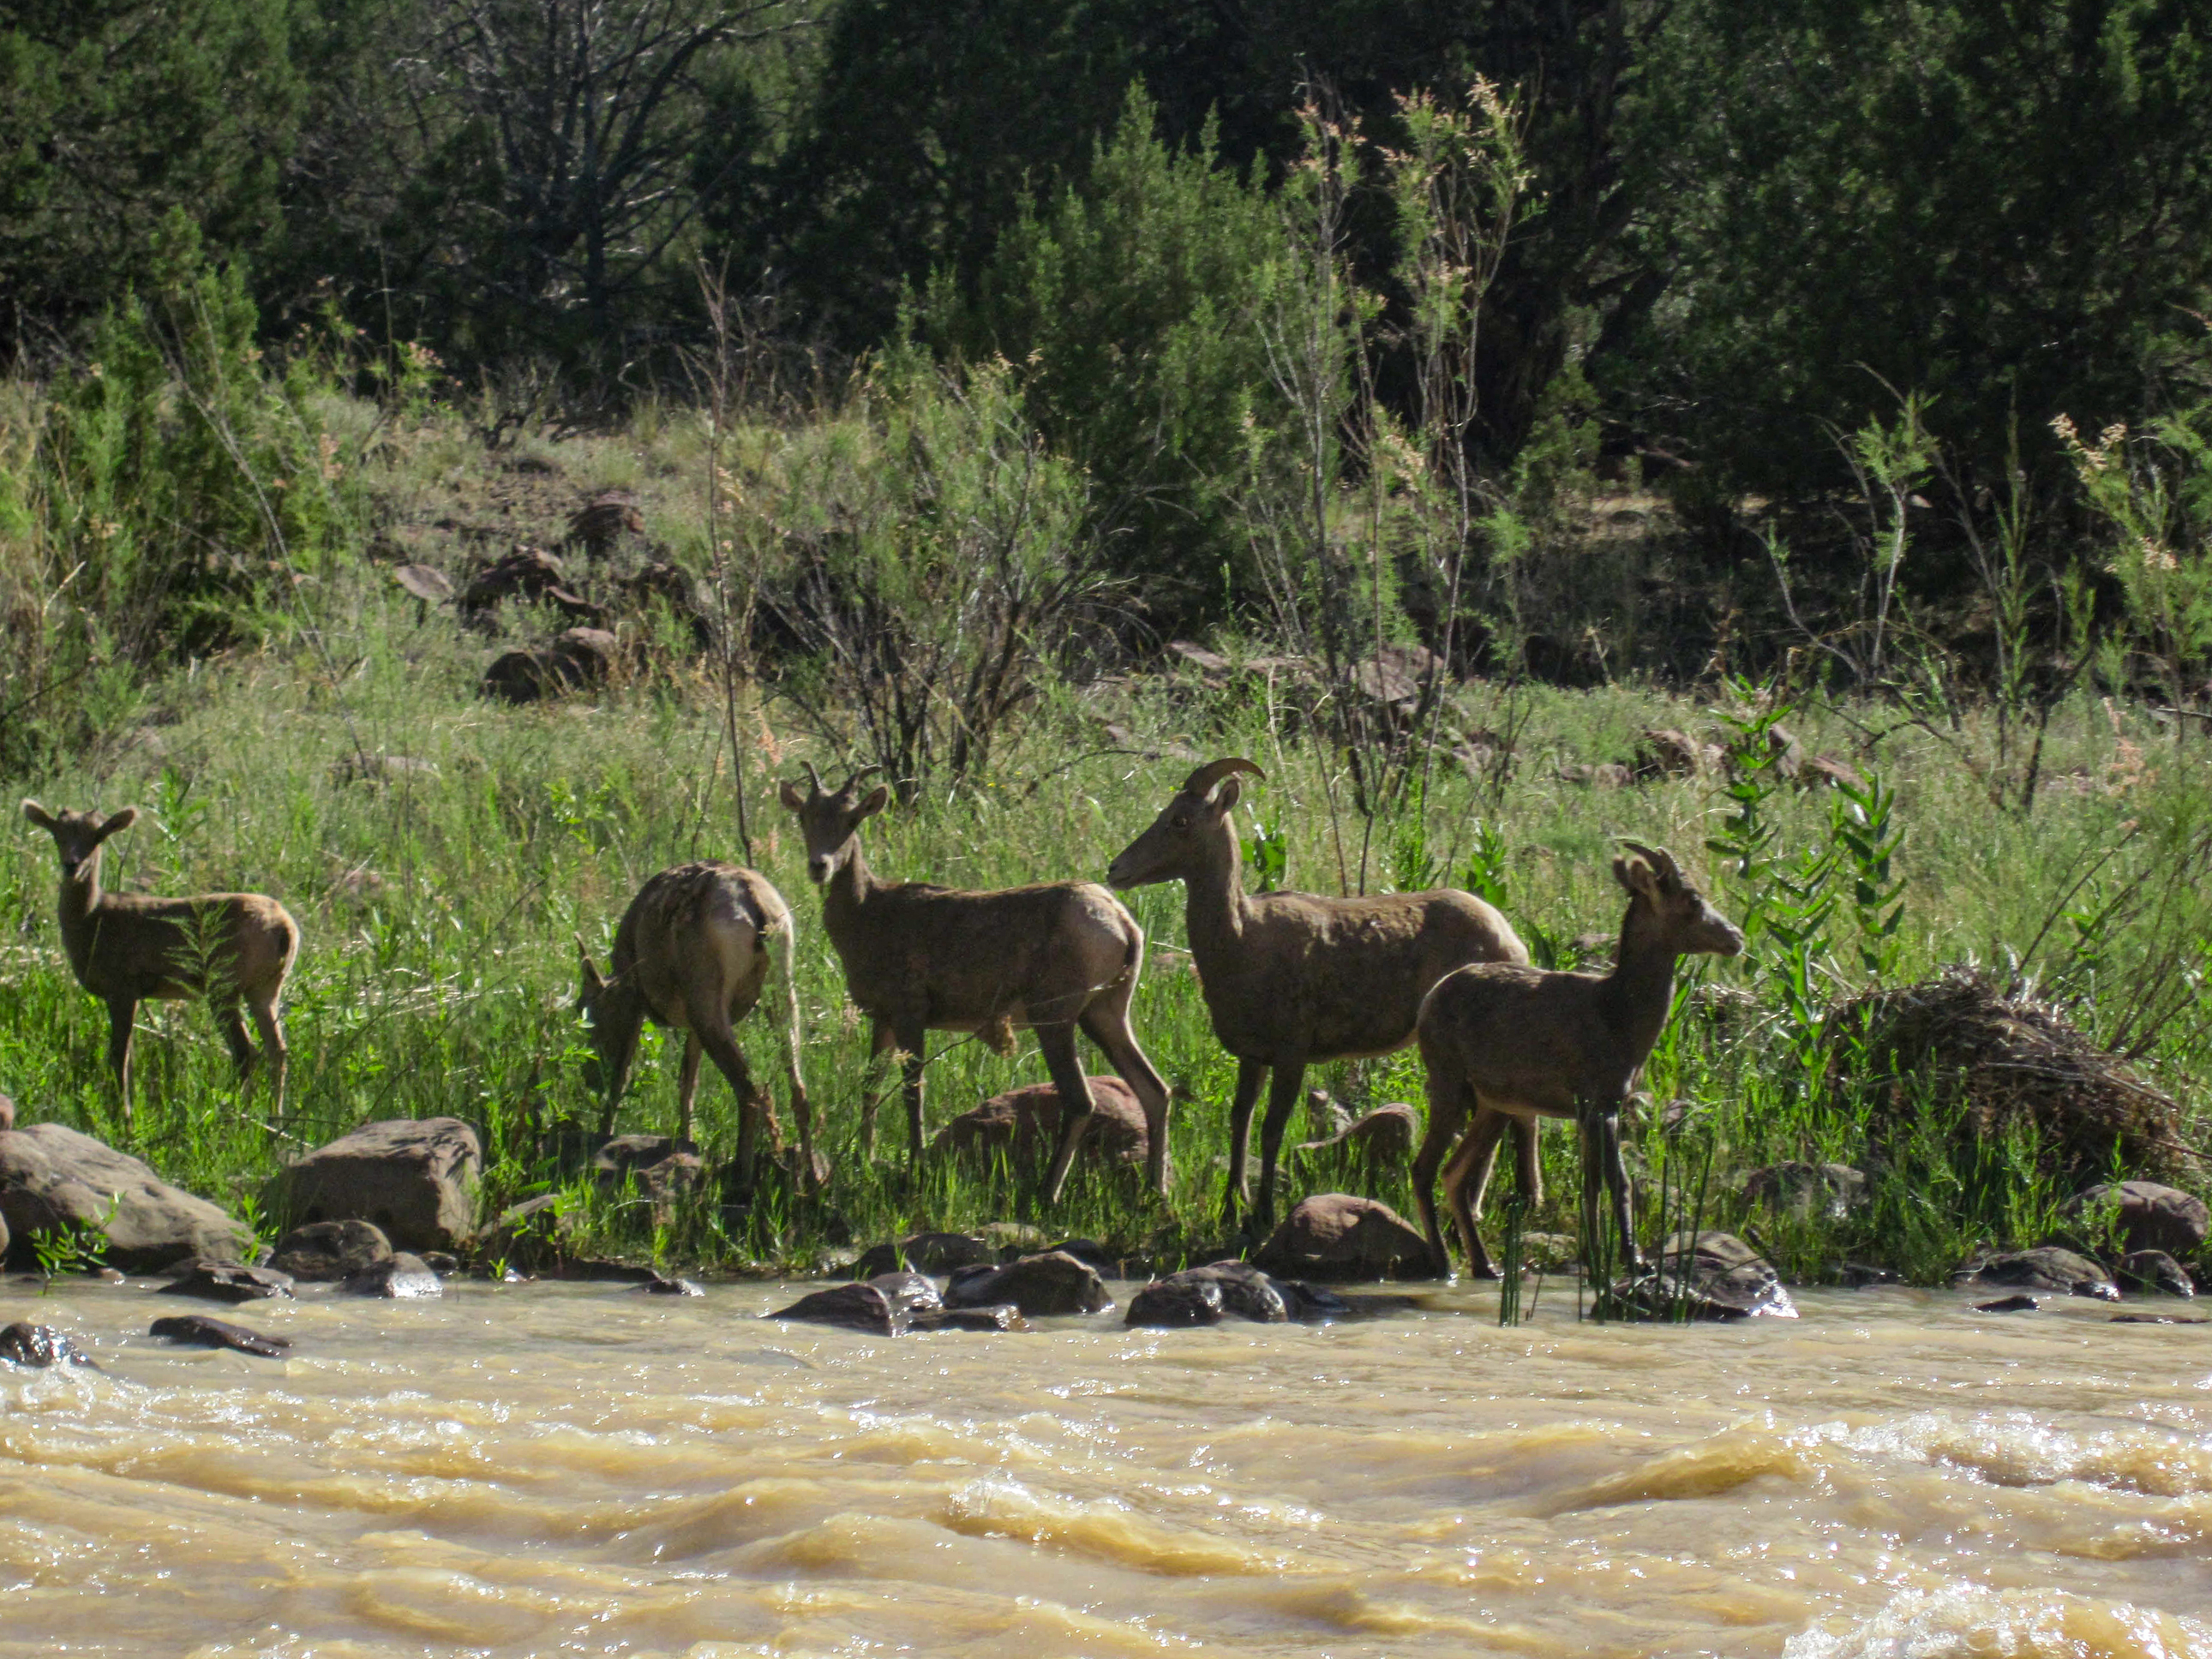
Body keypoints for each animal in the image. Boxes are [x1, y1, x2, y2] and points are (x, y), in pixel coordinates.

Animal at [21, 801, 300, 1128]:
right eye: (57, 833)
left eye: (98, 837)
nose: (71, 865)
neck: (93, 923)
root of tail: (286, 929)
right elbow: (128, 1060)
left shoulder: (123, 986)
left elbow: (118, 1057)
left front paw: (124, 1120)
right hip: (265, 987)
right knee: (277, 1049)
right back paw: (274, 1123)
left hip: (224, 980)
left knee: (245, 1051)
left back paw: (234, 1118)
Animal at [575, 862, 813, 1189]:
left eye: (585, 1014)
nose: (589, 1077)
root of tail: (758, 907)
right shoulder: (689, 1023)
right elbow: (688, 1083)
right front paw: (686, 1141)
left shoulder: (636, 996)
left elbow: (622, 1075)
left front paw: (604, 1134)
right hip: (780, 984)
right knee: (798, 1090)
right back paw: (809, 1179)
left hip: (705, 991)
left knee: (753, 1093)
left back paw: (742, 1179)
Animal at [779, 763, 1172, 1202]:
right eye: (804, 816)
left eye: (852, 819)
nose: (819, 866)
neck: (867, 918)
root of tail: (1123, 925)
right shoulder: (882, 1018)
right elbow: (871, 1088)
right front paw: (865, 1158)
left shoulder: (910, 1011)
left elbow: (913, 1091)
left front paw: (915, 1165)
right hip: (1107, 1011)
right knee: (1155, 1090)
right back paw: (1157, 1191)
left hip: (1055, 1014)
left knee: (1080, 1100)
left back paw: (1047, 1193)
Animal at [1106, 757, 1530, 1232]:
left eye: (1180, 820)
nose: (1115, 870)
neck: (1242, 942)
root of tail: (1510, 938)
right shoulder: (1252, 1057)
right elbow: (1240, 1121)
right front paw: (1233, 1203)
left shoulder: (1292, 1055)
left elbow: (1271, 1129)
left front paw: (1263, 1214)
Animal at [1410, 841, 1744, 1280]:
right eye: (1692, 899)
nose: (1736, 937)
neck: (1620, 1019)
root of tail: (1428, 1001)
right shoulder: (1600, 1099)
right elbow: (1617, 1182)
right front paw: (1631, 1260)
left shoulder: (1593, 1108)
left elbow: (1593, 1185)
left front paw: (1596, 1257)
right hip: (1448, 1080)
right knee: (1424, 1169)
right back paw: (1444, 1265)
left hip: (1493, 1104)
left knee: (1454, 1175)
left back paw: (1486, 1265)